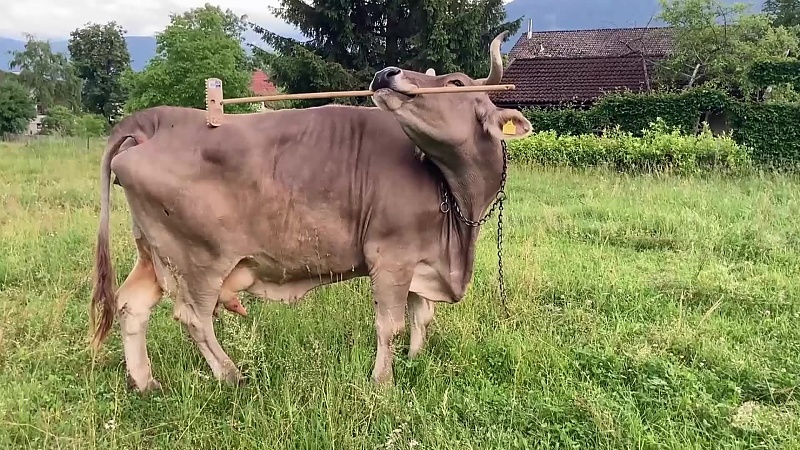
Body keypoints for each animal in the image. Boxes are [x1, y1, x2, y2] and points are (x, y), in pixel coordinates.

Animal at [89, 31, 533, 393]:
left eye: (455, 83)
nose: (386, 72)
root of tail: (158, 118)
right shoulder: (391, 255)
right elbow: (390, 324)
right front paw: (383, 382)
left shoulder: (424, 260)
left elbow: (421, 317)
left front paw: (415, 362)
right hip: (199, 259)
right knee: (192, 316)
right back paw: (232, 376)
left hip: (154, 252)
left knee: (131, 305)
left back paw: (145, 382)